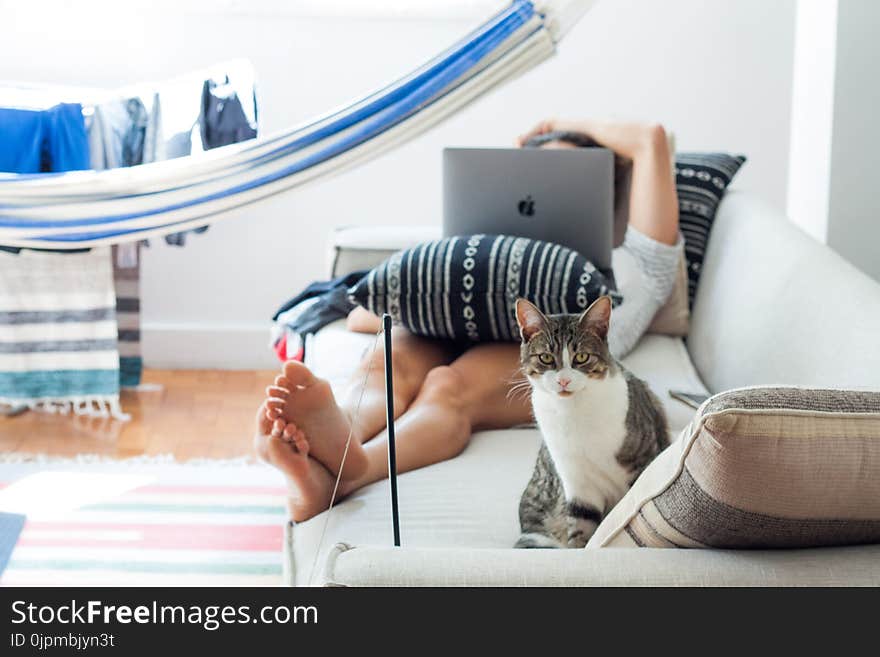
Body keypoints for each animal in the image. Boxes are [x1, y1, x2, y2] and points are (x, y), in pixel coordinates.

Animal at [516, 298, 668, 548]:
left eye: (582, 357)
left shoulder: (642, 460)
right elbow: (581, 525)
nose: (563, 381)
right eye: (546, 358)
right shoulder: (577, 483)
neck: (573, 411)